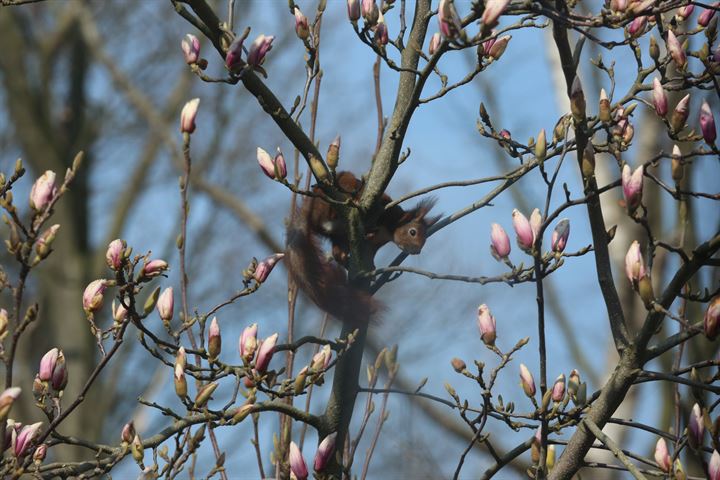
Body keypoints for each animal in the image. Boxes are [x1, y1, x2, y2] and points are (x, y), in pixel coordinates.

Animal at [286, 171, 438, 324]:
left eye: (425, 240)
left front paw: (372, 269)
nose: (417, 251)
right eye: (413, 232)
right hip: (335, 194)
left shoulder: (376, 243)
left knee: (338, 254)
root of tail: (309, 212)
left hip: (340, 236)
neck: (388, 229)